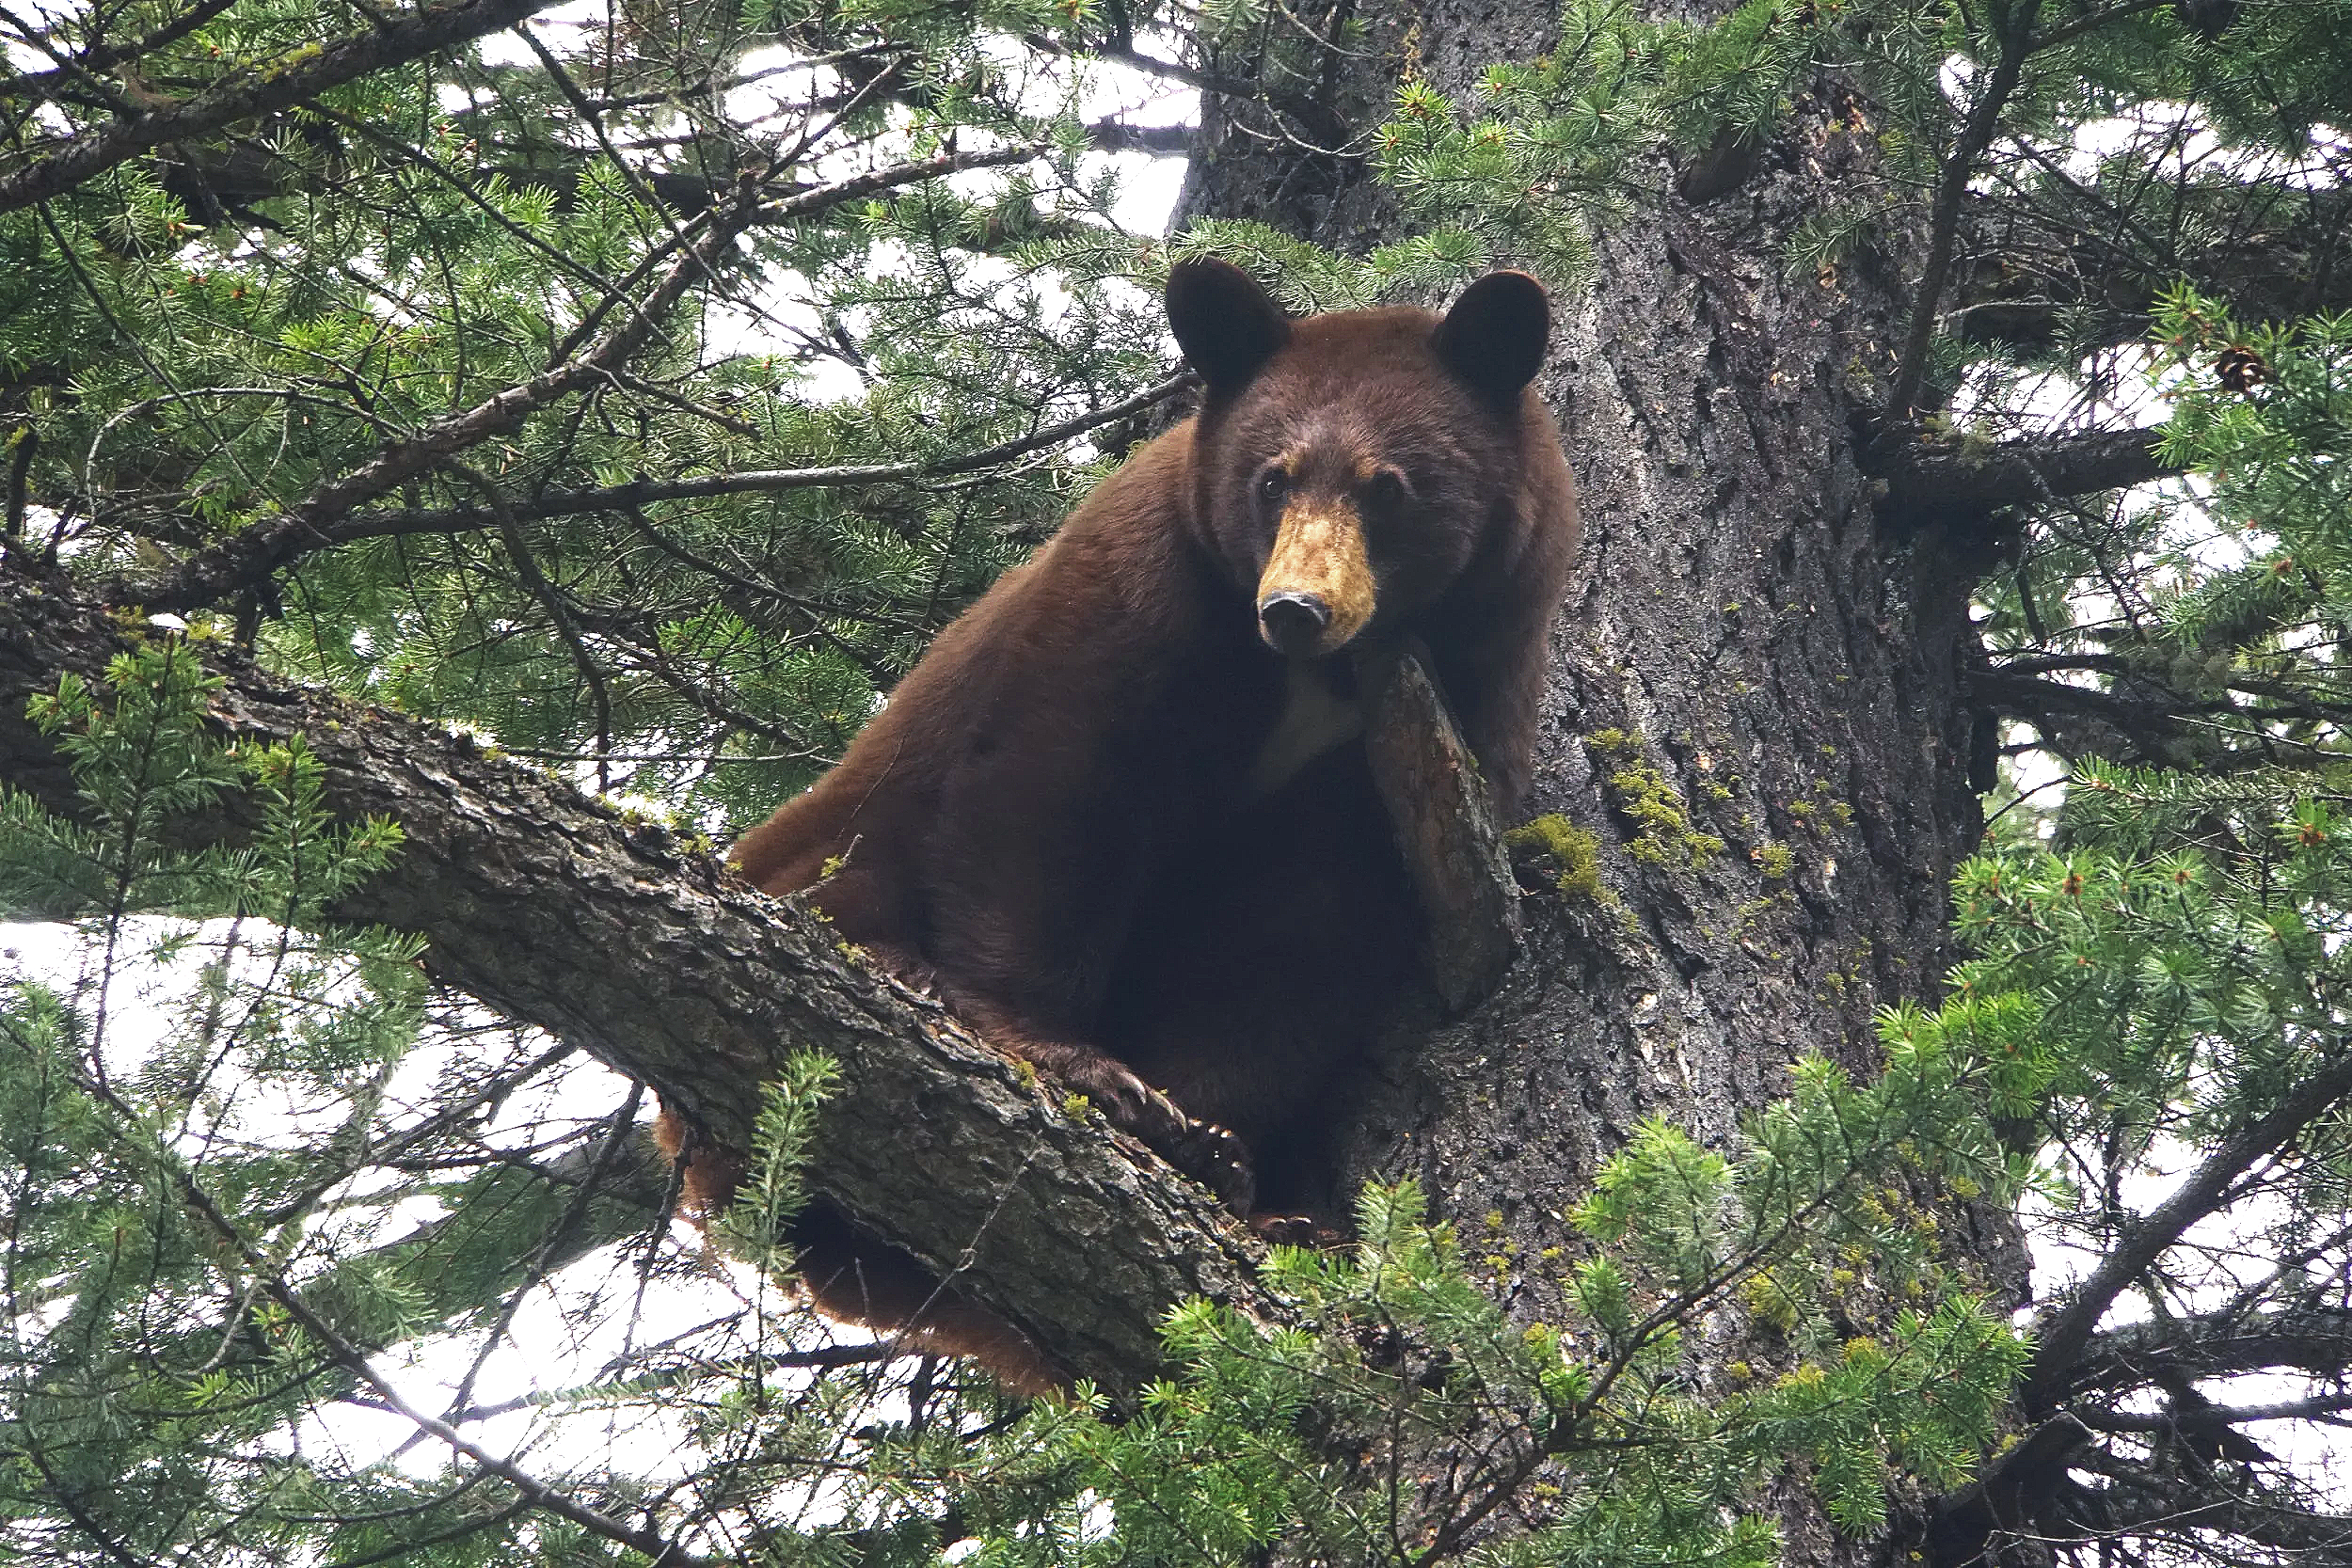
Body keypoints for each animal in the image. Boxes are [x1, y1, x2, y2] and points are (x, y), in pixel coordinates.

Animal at [688, 258, 1580, 1390]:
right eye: (1273, 477)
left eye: (1388, 486)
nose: (1295, 609)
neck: (1317, 683)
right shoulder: (1146, 593)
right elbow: (1053, 795)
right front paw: (1081, 1066)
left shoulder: (1443, 715)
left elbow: (1295, 932)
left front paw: (1213, 1144)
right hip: (824, 837)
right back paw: (892, 971)